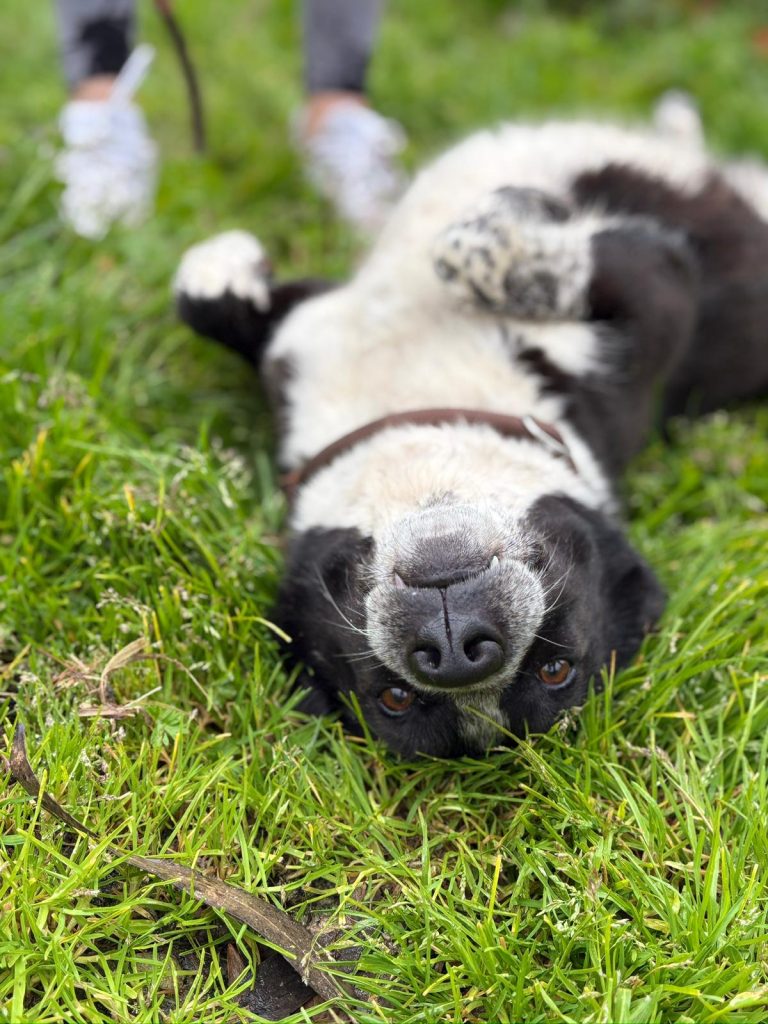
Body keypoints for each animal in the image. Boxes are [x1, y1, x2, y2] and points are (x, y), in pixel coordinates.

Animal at [174, 104, 768, 758]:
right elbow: (197, 300)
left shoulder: (659, 294)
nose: (459, 651)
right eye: (395, 699)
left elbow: (469, 251)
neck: (419, 398)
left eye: (554, 670)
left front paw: (517, 208)